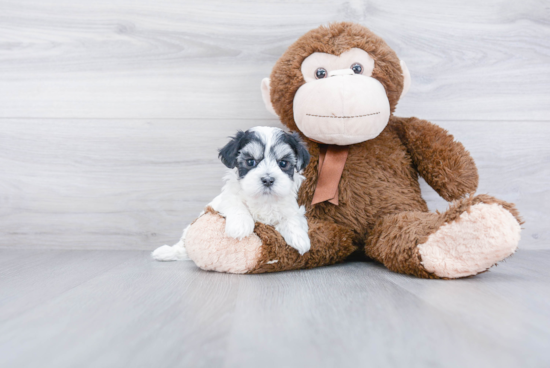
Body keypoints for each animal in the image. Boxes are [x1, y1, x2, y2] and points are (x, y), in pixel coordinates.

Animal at [153, 126, 312, 262]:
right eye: (250, 162)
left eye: (283, 163)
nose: (267, 180)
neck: (263, 200)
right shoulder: (226, 199)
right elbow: (236, 205)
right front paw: (240, 226)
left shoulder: (291, 207)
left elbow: (292, 217)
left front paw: (300, 238)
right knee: (183, 245)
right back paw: (167, 252)